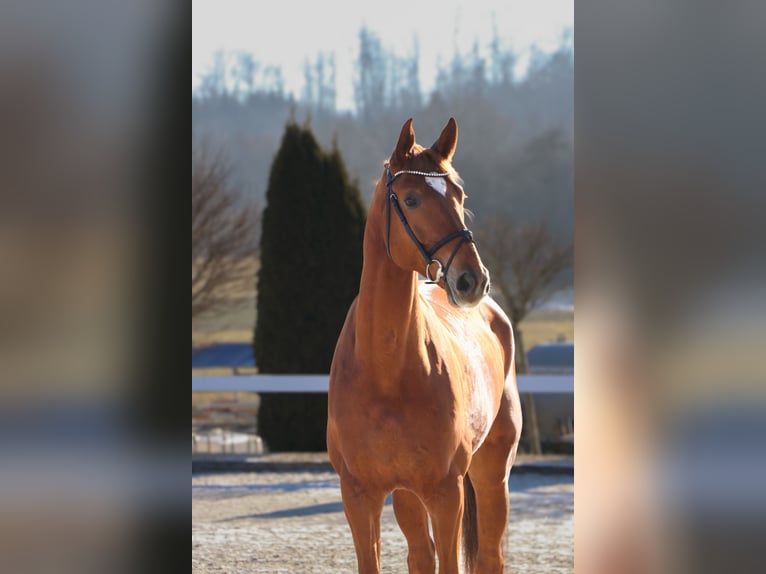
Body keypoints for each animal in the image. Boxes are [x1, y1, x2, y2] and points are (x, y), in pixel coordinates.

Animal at [328, 118, 524, 574]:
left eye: (459, 196)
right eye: (412, 199)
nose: (472, 279)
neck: (385, 371)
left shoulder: (445, 492)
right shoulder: (358, 495)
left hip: (492, 474)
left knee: (490, 556)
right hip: (405, 495)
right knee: (421, 555)